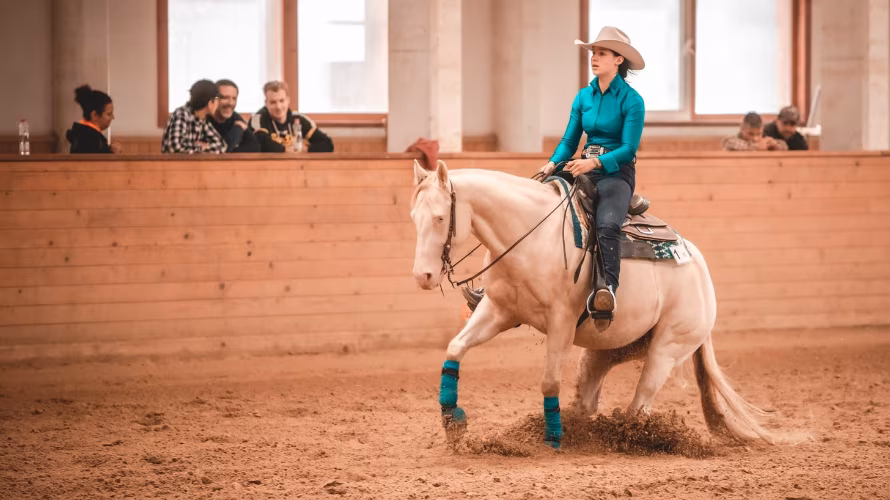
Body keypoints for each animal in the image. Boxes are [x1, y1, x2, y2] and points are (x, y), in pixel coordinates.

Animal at [409, 159, 775, 448]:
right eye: (414, 217)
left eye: (440, 218)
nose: (423, 276)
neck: (530, 235)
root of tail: (699, 268)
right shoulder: (497, 311)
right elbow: (455, 348)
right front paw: (452, 421)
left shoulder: (561, 323)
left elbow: (549, 381)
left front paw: (553, 439)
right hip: (607, 349)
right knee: (589, 399)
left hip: (668, 348)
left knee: (640, 406)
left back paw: (622, 436)